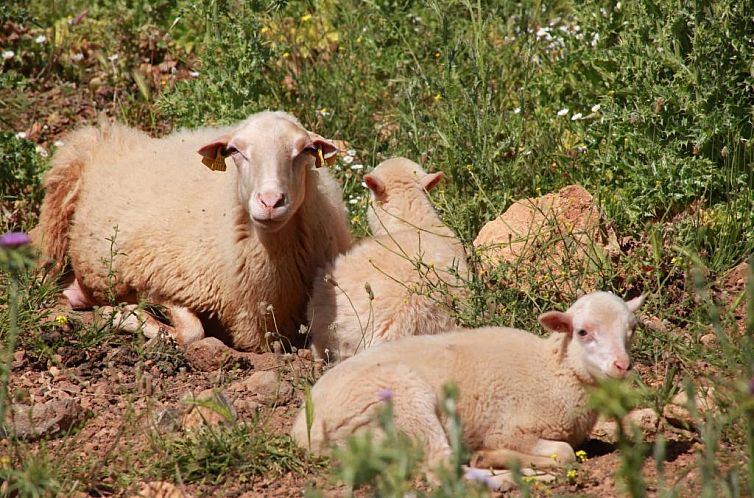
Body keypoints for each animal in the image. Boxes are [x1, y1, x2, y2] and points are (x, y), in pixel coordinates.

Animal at [35, 110, 350, 350]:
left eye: (306, 150)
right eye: (235, 151)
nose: (270, 202)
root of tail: (115, 131)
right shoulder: (160, 281)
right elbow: (192, 332)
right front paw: (124, 315)